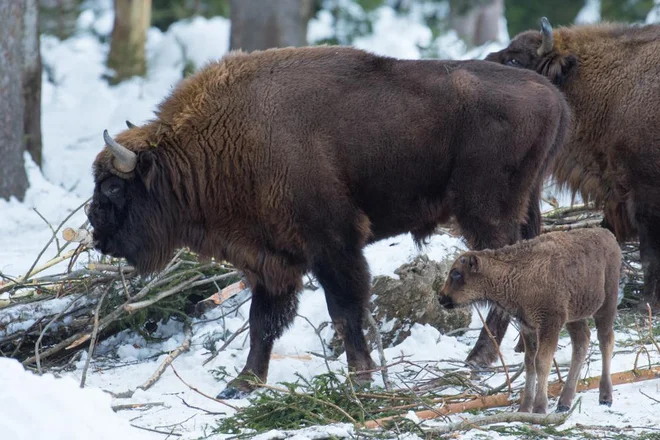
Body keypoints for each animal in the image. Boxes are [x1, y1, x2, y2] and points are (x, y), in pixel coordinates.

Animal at [438, 229, 620, 414]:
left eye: (456, 273)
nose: (440, 297)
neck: (517, 272)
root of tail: (608, 235)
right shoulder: (528, 327)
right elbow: (529, 363)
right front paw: (524, 408)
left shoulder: (549, 325)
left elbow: (542, 362)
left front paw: (539, 408)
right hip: (576, 317)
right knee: (581, 343)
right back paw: (564, 402)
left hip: (606, 305)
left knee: (606, 340)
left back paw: (605, 397)